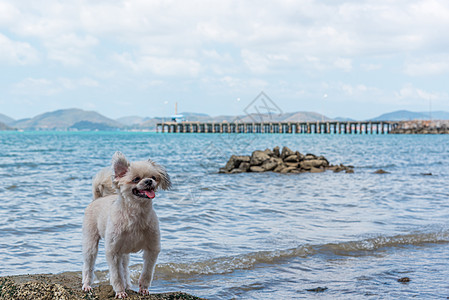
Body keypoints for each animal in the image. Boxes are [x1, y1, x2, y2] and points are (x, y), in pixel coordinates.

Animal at [81, 152, 171, 298]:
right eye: (136, 179)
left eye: (153, 177)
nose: (148, 181)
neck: (136, 213)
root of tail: (98, 199)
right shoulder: (113, 252)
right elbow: (116, 275)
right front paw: (120, 291)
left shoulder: (152, 249)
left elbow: (147, 272)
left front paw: (143, 289)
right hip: (91, 243)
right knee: (89, 265)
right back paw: (87, 285)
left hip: (123, 253)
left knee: (124, 268)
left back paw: (128, 285)